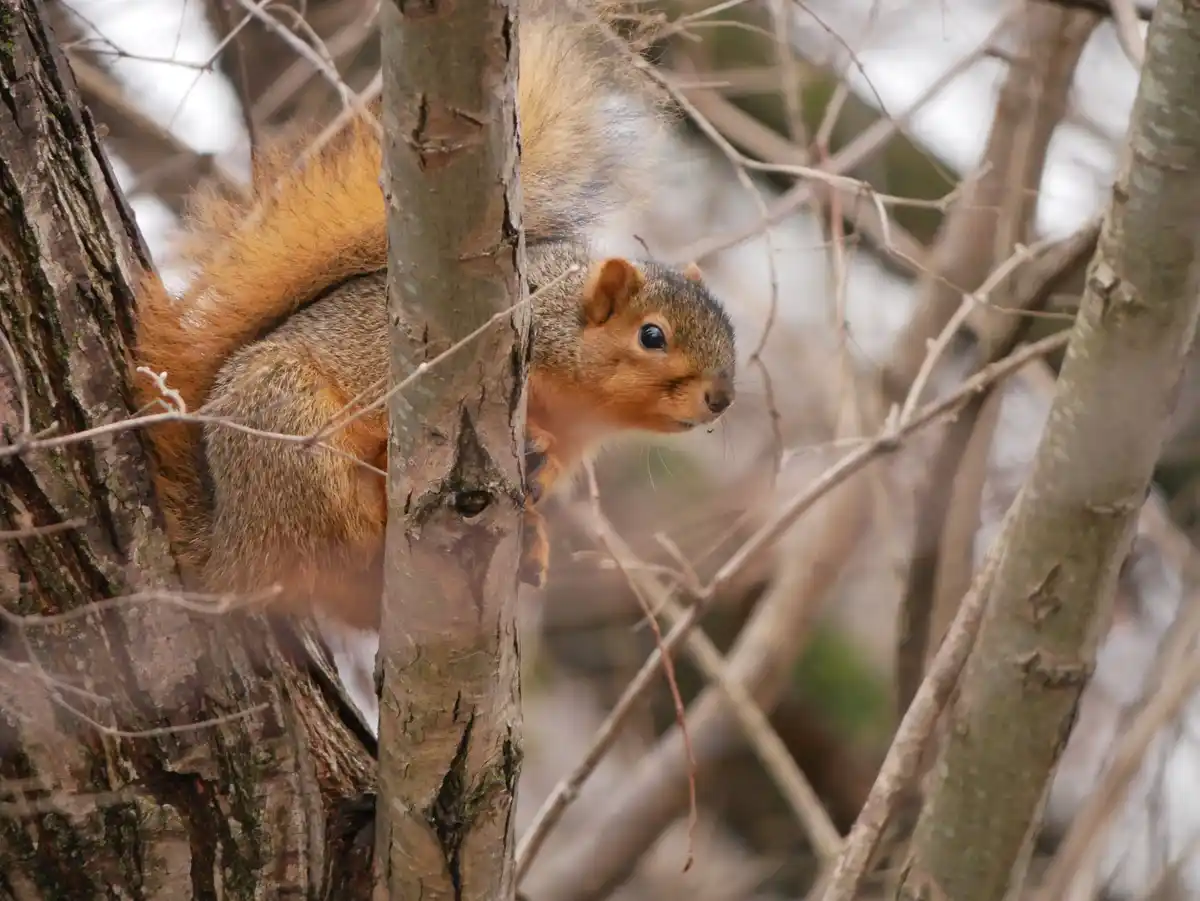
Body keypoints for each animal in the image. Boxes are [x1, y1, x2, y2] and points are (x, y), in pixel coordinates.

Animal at [132, 0, 738, 633]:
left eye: (731, 337)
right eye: (652, 335)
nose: (721, 398)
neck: (578, 403)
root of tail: (230, 553)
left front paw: (541, 487)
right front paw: (533, 443)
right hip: (288, 427)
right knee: (337, 535)